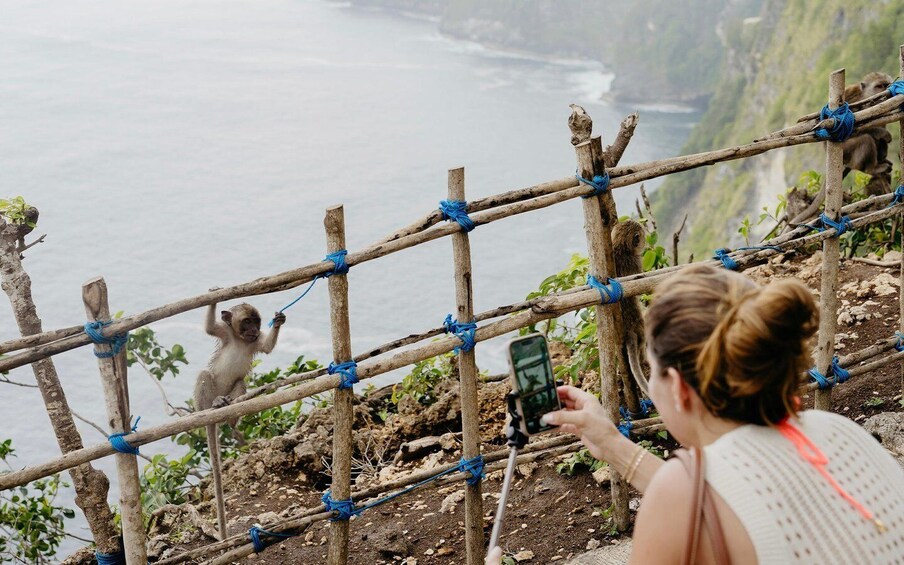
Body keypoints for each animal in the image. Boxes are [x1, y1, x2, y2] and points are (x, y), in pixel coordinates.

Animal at [192, 302, 284, 540]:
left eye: (256, 322)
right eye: (246, 321)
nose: (253, 330)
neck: (241, 340)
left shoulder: (255, 341)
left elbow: (266, 346)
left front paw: (278, 321)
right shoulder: (225, 334)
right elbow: (209, 328)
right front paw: (212, 298)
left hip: (233, 392)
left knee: (240, 382)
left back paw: (232, 418)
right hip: (207, 395)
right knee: (204, 375)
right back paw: (213, 405)